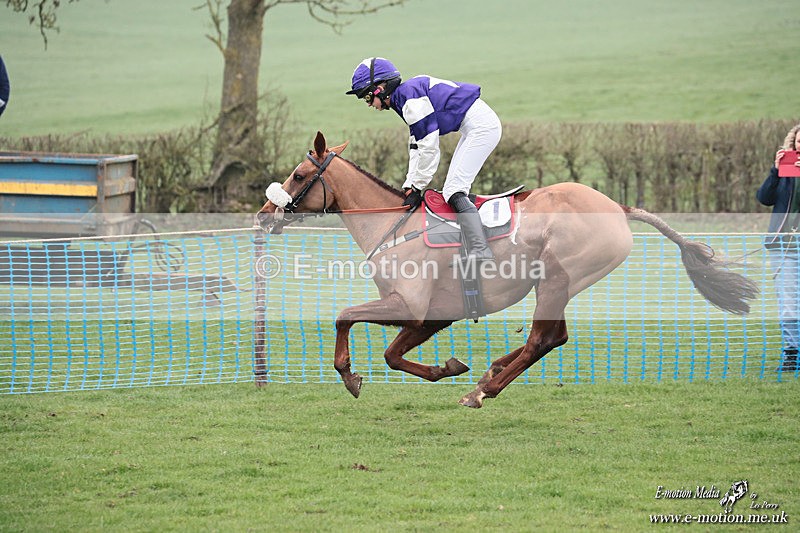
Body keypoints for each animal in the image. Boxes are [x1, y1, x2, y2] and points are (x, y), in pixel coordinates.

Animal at [256, 131, 759, 408]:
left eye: (298, 175)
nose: (263, 214)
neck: (393, 225)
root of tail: (617, 207)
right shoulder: (432, 316)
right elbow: (393, 355)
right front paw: (448, 367)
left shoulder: (410, 306)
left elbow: (346, 318)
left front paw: (349, 375)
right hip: (559, 285)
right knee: (553, 338)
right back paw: (489, 372)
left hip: (555, 278)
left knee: (543, 339)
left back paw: (483, 390)